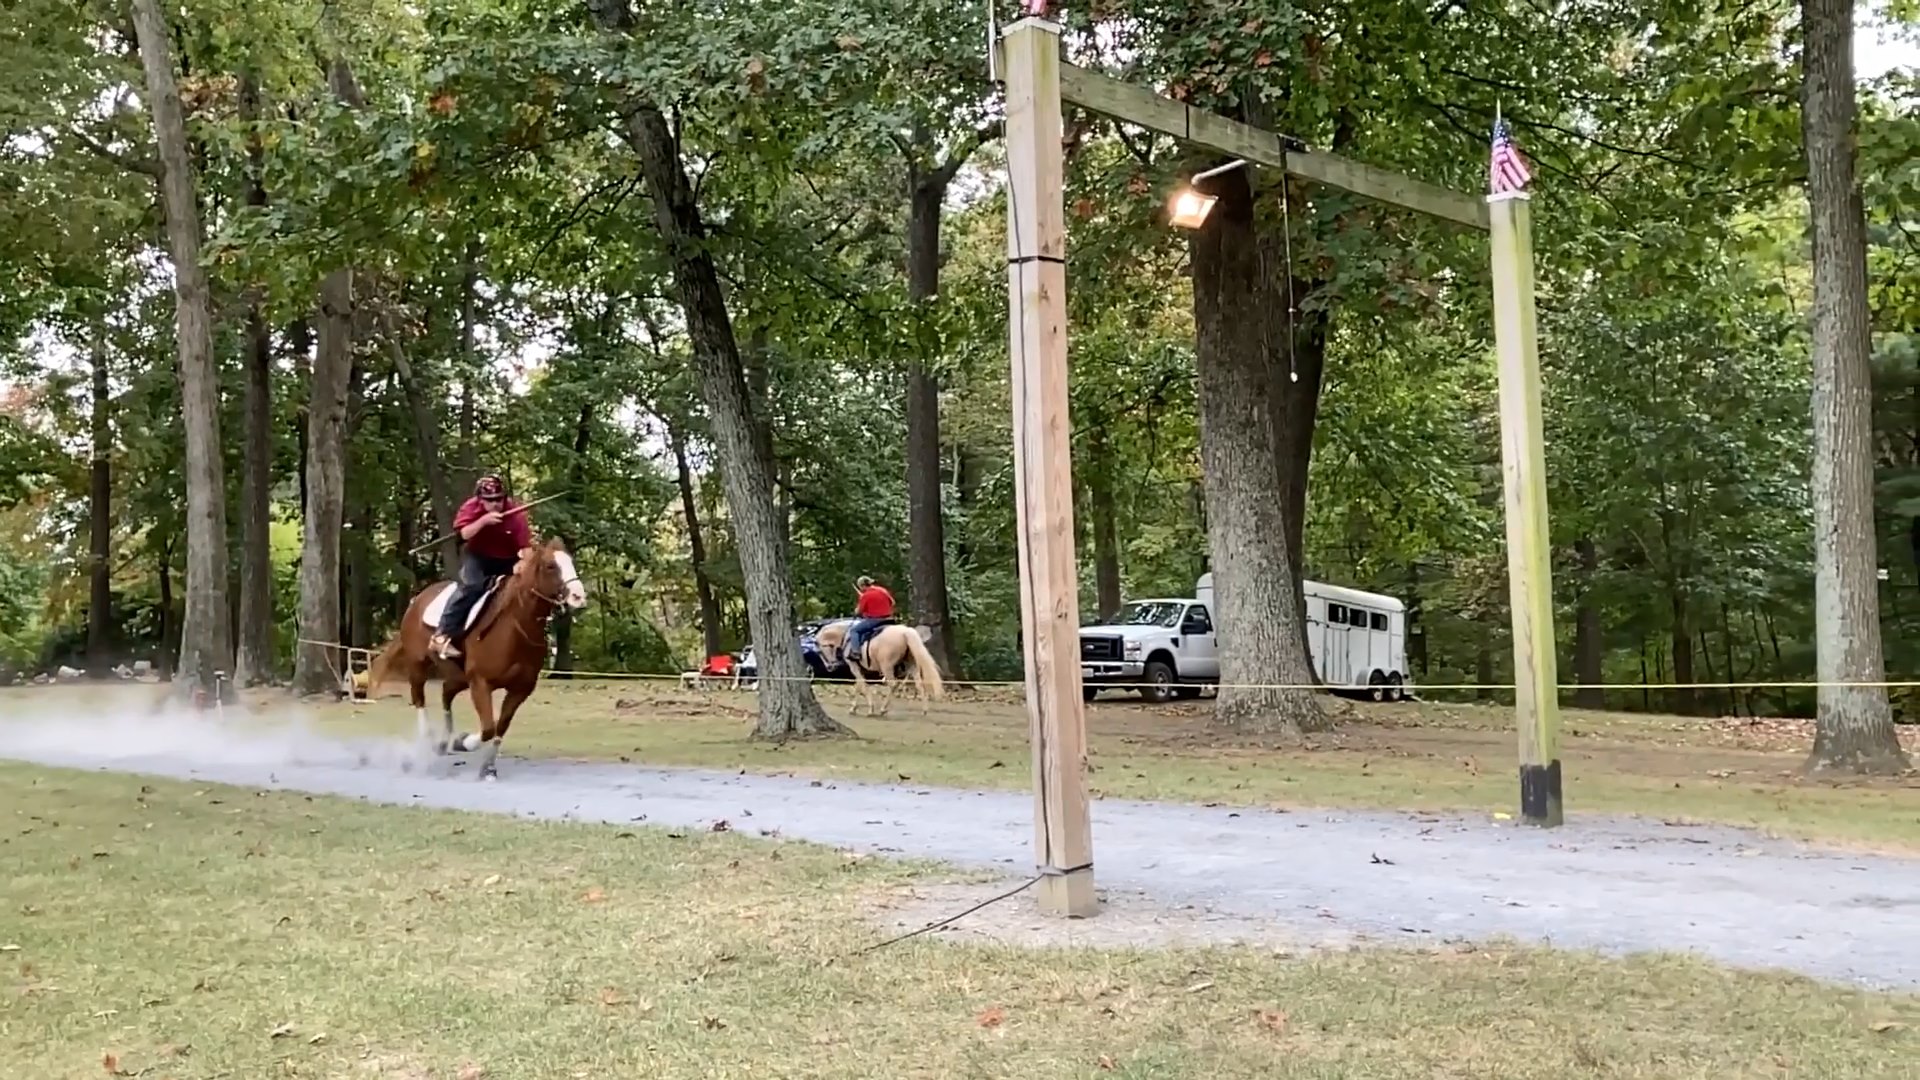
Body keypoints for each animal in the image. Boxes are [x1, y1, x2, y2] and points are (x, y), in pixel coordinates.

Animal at [366, 534, 583, 772]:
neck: (515, 628)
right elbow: (488, 728)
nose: (578, 595)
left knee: (446, 693)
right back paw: (428, 738)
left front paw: (488, 767)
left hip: (459, 676)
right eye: (550, 566)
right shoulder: (480, 682)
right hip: (418, 663)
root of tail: (418, 599)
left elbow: (500, 727)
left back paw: (444, 741)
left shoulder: (520, 689)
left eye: (570, 562)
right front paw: (464, 742)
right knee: (419, 697)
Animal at [814, 614, 948, 714]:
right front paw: (854, 707)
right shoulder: (860, 669)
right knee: (919, 684)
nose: (830, 667)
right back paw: (924, 710)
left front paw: (868, 708)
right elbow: (859, 686)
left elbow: (862, 685)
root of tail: (904, 632)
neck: (846, 636)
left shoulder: (854, 667)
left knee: (893, 684)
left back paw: (883, 709)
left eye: (820, 651)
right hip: (911, 665)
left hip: (887, 666)